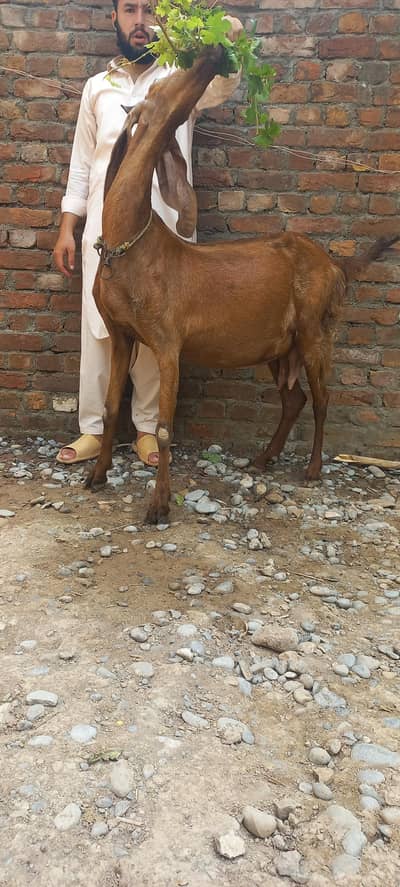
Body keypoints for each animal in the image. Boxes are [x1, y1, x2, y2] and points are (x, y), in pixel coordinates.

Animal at [86, 45, 399, 523]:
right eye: (164, 86)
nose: (212, 54)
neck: (130, 241)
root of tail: (333, 261)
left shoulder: (168, 340)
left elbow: (163, 428)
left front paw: (159, 505)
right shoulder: (122, 334)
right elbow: (107, 409)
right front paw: (97, 475)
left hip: (315, 330)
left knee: (322, 398)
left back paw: (312, 468)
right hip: (277, 344)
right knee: (295, 400)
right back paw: (264, 458)